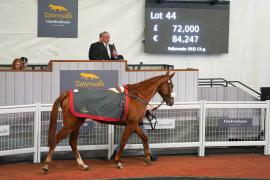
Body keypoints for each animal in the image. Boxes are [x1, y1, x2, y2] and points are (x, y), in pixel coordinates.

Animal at [42, 70, 175, 173]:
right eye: (171, 85)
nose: (171, 101)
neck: (136, 96)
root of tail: (67, 93)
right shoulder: (131, 124)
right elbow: (123, 141)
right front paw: (118, 162)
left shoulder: (134, 124)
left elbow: (144, 137)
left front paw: (147, 158)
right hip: (70, 124)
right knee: (56, 139)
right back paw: (46, 165)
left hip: (77, 123)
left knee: (73, 142)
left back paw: (83, 165)